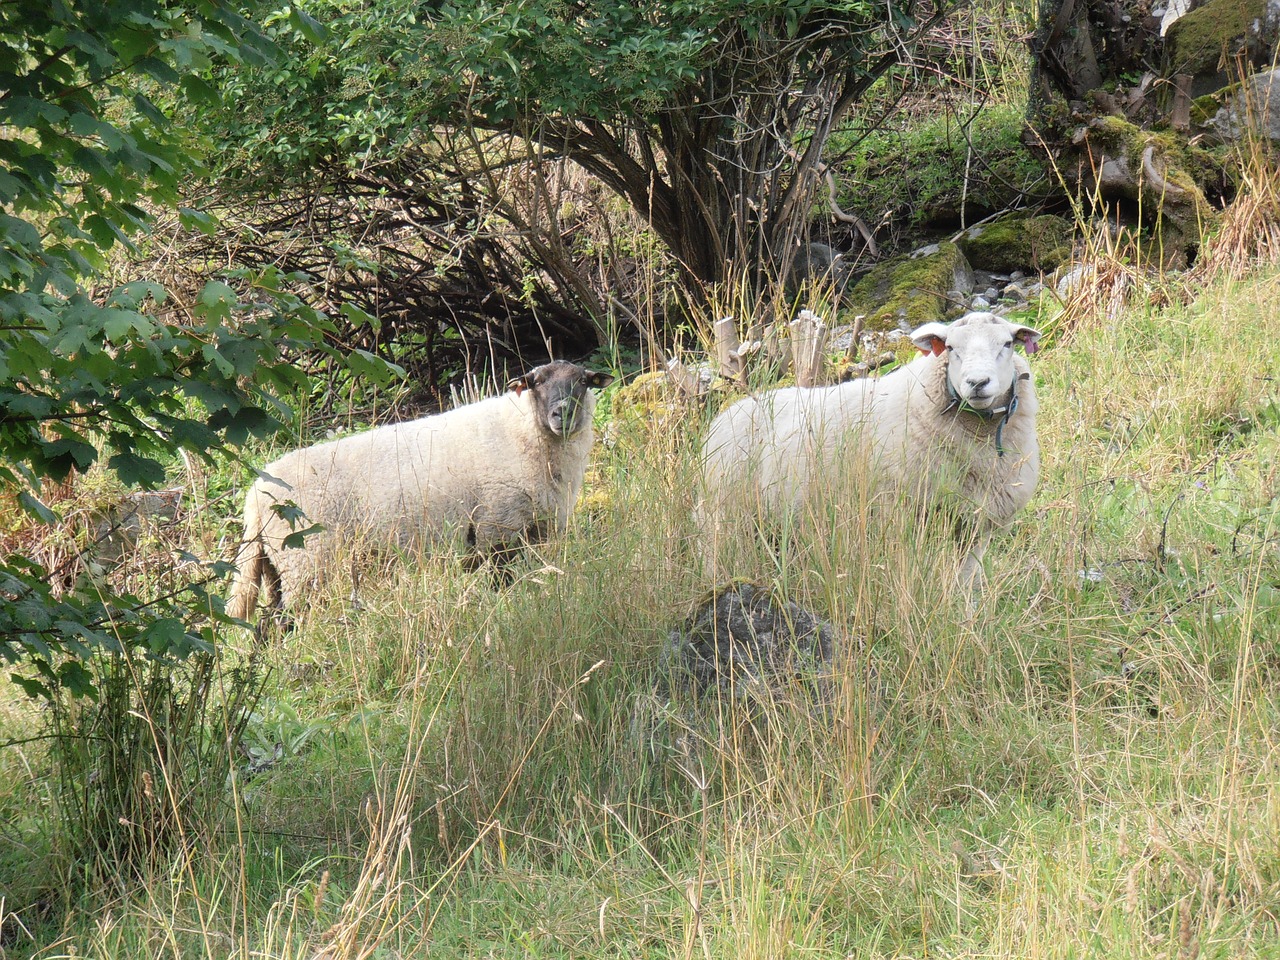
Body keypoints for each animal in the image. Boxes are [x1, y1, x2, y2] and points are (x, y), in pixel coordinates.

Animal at [229, 358, 614, 616]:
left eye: (583, 382)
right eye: (536, 383)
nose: (562, 413)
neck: (524, 432)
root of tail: (254, 497)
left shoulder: (540, 530)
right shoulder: (496, 528)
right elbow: (501, 583)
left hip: (276, 564)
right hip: (306, 559)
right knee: (287, 620)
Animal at [701, 312, 1039, 591]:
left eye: (1007, 344)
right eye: (952, 348)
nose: (977, 382)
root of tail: (726, 415)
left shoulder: (973, 527)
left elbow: (965, 580)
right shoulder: (899, 516)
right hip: (725, 517)